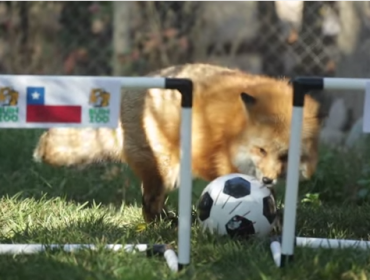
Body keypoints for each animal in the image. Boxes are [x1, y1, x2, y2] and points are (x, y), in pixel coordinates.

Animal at [33, 63, 326, 223]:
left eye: (286, 156)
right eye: (261, 150)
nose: (267, 179)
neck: (233, 132)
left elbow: (271, 202)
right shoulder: (228, 168)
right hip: (165, 171)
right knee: (148, 203)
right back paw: (162, 227)